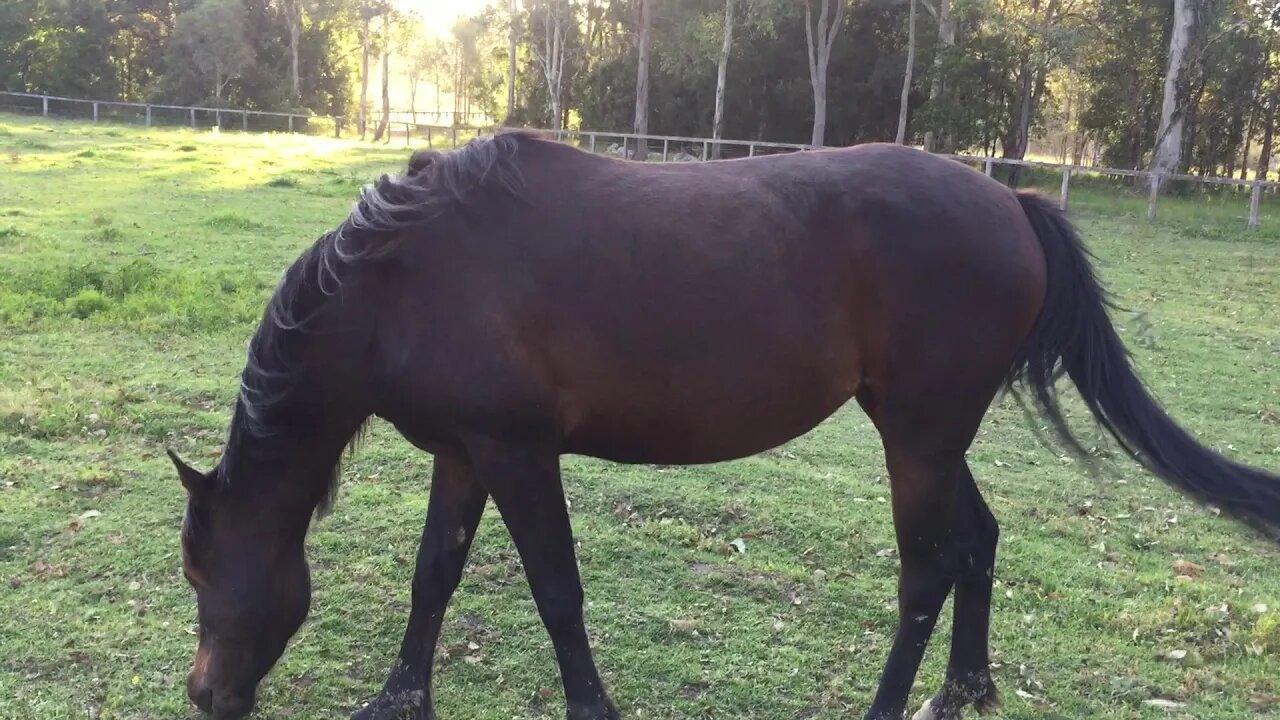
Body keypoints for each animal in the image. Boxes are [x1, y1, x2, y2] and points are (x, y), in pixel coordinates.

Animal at [167, 130, 1280, 717]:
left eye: (199, 572)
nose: (204, 694)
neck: (405, 281)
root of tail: (1012, 203)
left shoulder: (520, 455)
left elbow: (557, 591)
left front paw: (590, 705)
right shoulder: (465, 452)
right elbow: (434, 573)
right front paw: (401, 695)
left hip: (917, 439)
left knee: (927, 567)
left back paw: (889, 705)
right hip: (928, 433)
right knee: (979, 540)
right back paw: (963, 687)